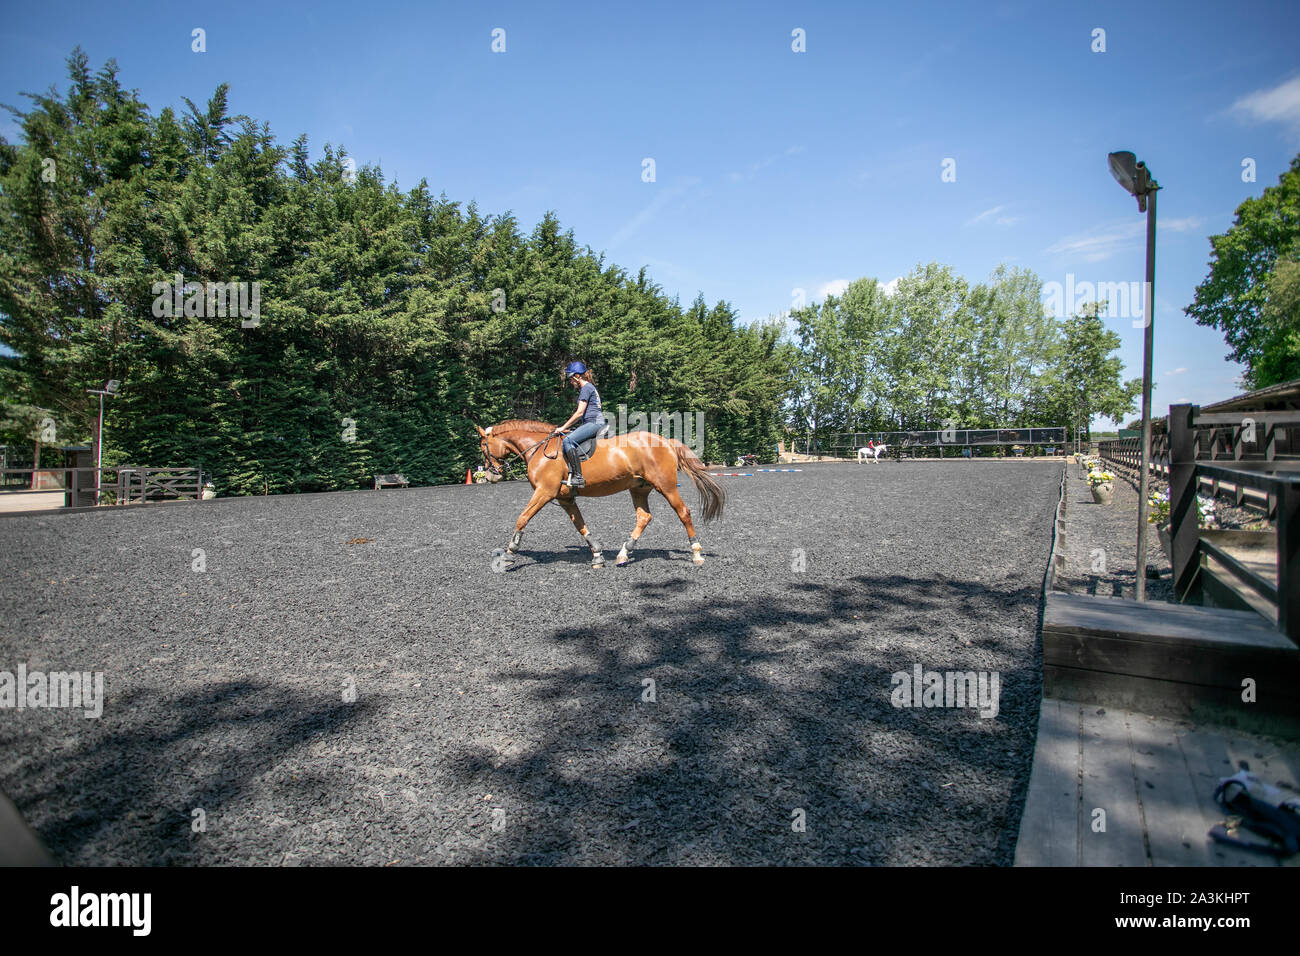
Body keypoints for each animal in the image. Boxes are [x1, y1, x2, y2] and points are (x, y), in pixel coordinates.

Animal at [478, 421, 728, 567]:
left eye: (483, 447)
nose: (490, 475)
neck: (539, 450)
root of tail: (665, 441)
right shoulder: (565, 498)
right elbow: (580, 525)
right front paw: (597, 554)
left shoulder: (544, 492)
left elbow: (522, 518)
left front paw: (509, 553)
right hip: (639, 488)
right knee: (644, 517)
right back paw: (624, 553)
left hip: (666, 486)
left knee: (683, 512)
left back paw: (696, 553)